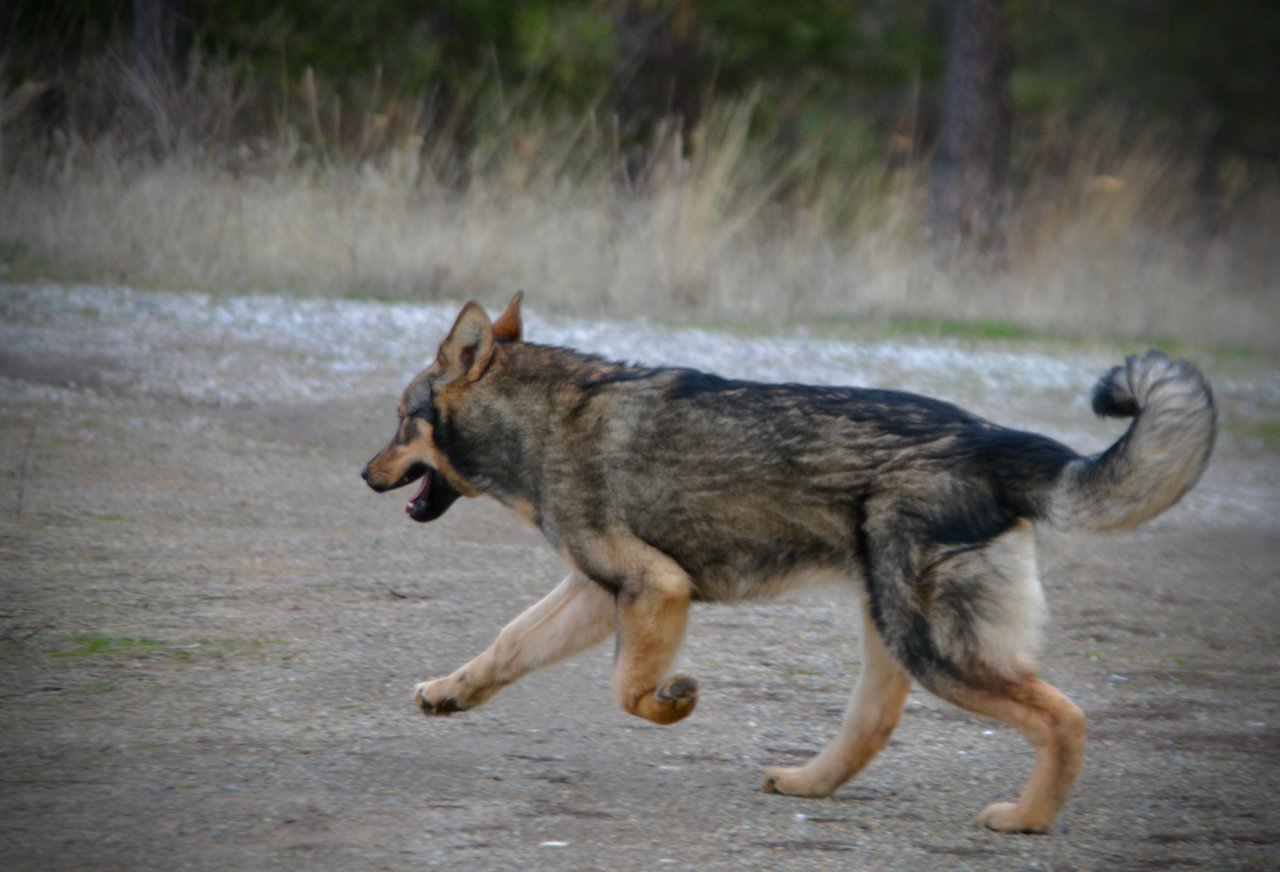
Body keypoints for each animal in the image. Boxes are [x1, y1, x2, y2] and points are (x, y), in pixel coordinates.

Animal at [363, 291, 1218, 829]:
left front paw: (674, 703)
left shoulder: (654, 586)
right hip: (891, 629)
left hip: (935, 647)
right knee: (872, 725)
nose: (363, 474)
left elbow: (627, 689)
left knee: (1063, 717)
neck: (542, 419)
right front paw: (448, 693)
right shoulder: (596, 590)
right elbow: (507, 643)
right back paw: (807, 782)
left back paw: (1028, 819)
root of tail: (992, 442)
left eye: (402, 421)